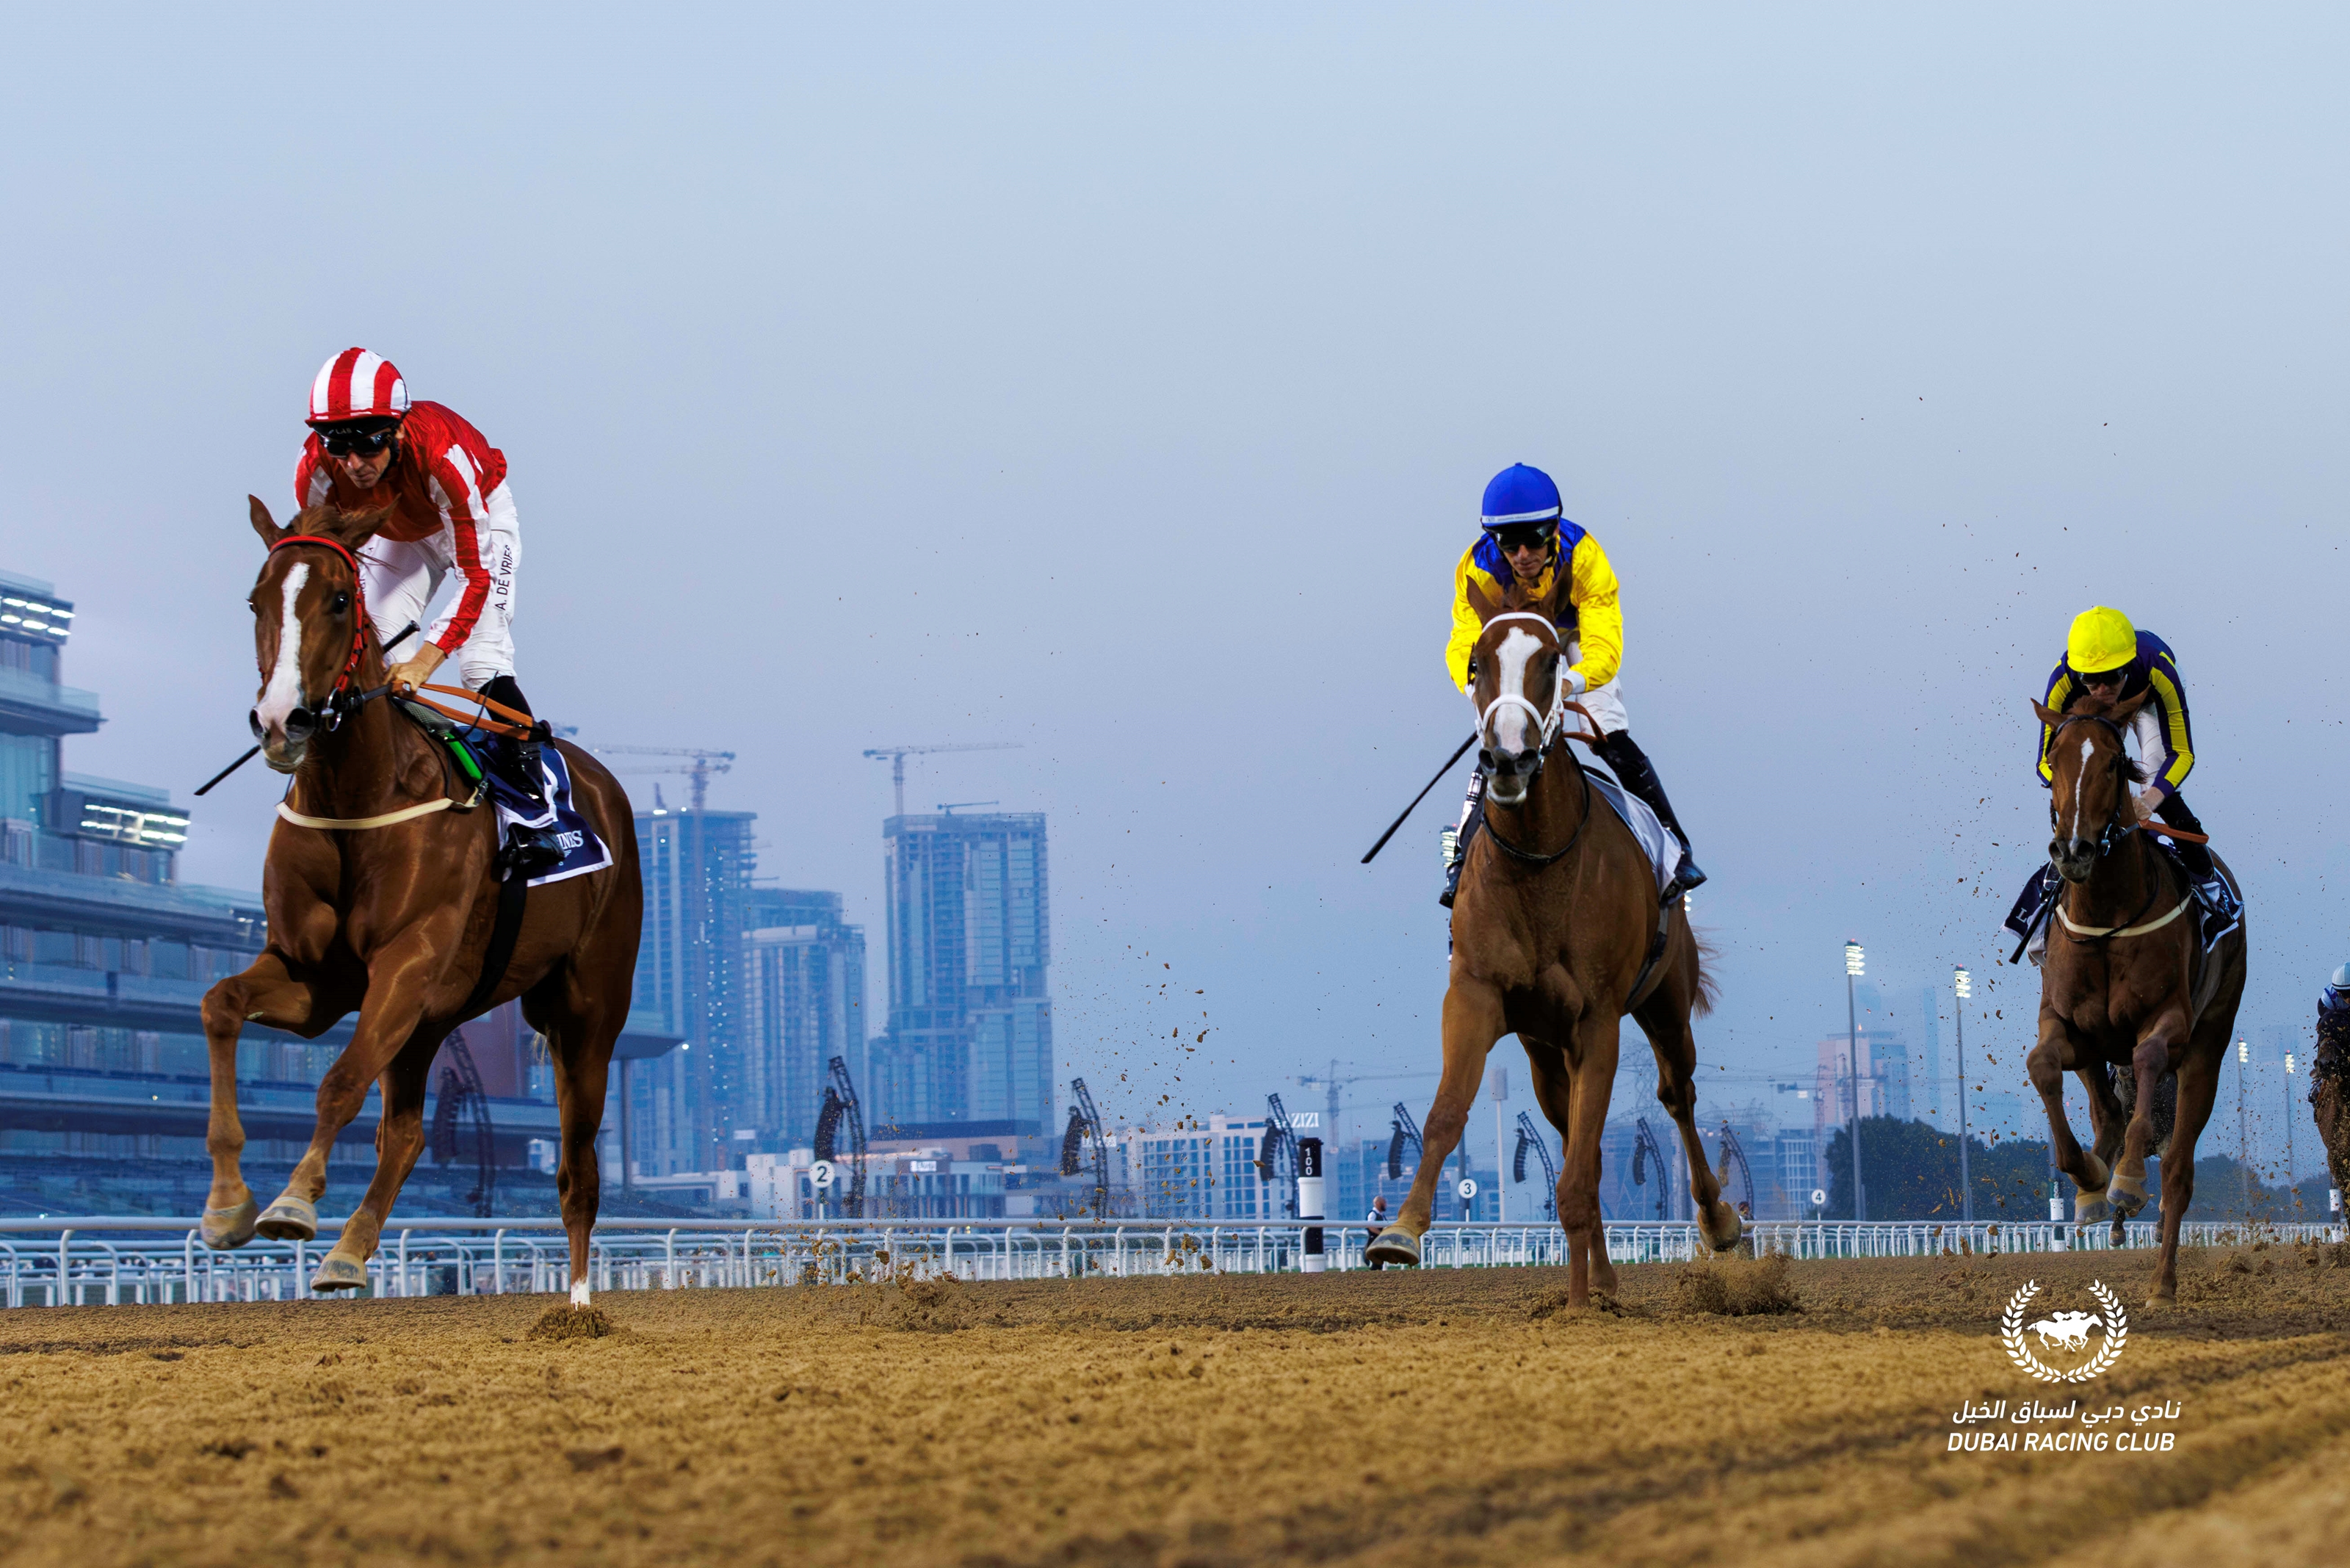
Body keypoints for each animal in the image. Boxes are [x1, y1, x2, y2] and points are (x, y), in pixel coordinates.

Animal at [200, 500, 643, 1297]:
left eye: (338, 602)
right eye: (256, 601)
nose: (282, 722)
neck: (360, 795)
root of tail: (605, 788)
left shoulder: (405, 963)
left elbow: (341, 1080)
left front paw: (291, 1201)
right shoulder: (316, 977)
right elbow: (220, 1004)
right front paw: (227, 1205)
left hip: (586, 1010)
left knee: (578, 1172)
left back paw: (577, 1301)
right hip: (435, 1015)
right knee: (406, 1132)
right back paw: (350, 1248)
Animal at [1372, 574, 1739, 1297]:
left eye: (1549, 663)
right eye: (1477, 663)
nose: (1507, 757)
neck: (1540, 864)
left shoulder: (1599, 1017)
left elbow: (1582, 1168)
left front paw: (1579, 1301)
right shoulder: (1477, 993)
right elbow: (1447, 1113)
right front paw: (1400, 1230)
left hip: (1665, 1003)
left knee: (1675, 1096)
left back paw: (1711, 1223)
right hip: (1545, 1050)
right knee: (1574, 1132)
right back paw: (1601, 1278)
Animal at [2030, 691, 2246, 1307]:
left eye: (2112, 763)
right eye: (2054, 759)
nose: (2073, 849)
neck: (2107, 914)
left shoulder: (2167, 1020)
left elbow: (2149, 1066)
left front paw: (2125, 1178)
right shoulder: (2069, 1025)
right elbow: (2043, 1064)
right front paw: (2086, 1177)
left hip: (2209, 1044)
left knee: (2177, 1169)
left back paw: (2161, 1282)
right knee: (2104, 1108)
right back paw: (2090, 1187)